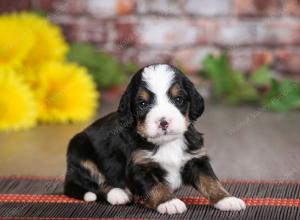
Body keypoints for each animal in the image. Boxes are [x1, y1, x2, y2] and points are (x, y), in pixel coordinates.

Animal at [64, 64, 245, 215]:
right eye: (143, 104)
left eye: (178, 99)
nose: (163, 122)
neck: (168, 143)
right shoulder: (139, 166)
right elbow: (154, 186)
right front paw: (169, 202)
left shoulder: (196, 159)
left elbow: (211, 181)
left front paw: (227, 199)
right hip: (79, 150)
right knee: (91, 183)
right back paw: (118, 193)